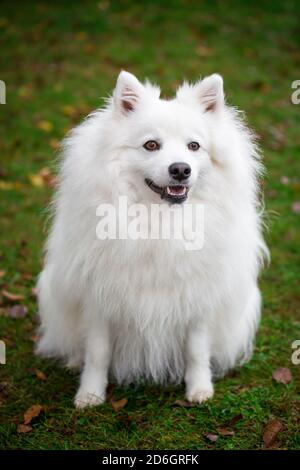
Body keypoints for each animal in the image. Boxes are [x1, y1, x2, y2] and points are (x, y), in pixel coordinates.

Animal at [36, 70, 268, 408]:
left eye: (194, 146)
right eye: (151, 145)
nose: (180, 169)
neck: (159, 220)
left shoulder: (198, 299)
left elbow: (196, 350)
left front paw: (200, 390)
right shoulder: (99, 299)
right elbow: (98, 352)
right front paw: (90, 395)